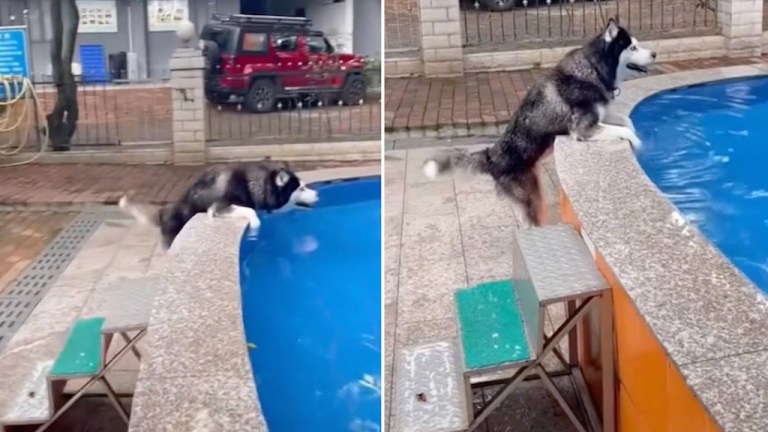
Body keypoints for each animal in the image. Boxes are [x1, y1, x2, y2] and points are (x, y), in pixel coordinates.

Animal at [122, 163, 318, 250]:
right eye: (301, 188)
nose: (317, 194)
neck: (254, 185)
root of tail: (164, 212)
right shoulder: (218, 208)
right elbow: (250, 210)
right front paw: (255, 225)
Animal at [424, 16, 656, 226]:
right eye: (633, 47)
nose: (654, 53)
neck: (594, 69)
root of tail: (492, 156)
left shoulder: (602, 116)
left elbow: (627, 121)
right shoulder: (583, 129)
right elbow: (627, 132)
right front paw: (639, 148)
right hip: (532, 198)